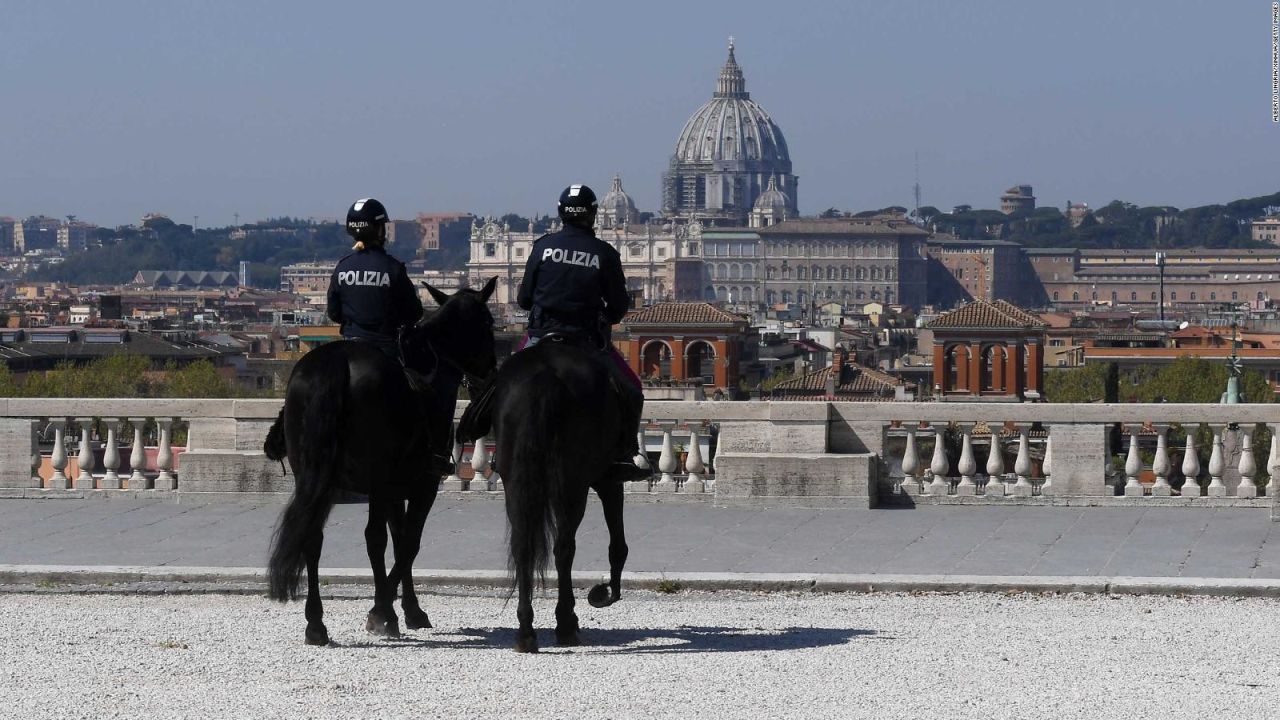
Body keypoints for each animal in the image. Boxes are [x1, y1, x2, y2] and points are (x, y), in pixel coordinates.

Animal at [264, 278, 494, 640]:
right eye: (489, 323)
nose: (491, 372)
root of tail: (336, 363)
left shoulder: (393, 489)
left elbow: (396, 540)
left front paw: (407, 610)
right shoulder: (420, 484)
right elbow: (407, 543)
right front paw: (386, 611)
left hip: (317, 478)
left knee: (313, 536)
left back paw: (316, 623)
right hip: (379, 479)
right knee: (373, 536)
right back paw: (371, 611)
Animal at [465, 335, 634, 650]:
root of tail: (543, 375)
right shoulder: (608, 481)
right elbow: (617, 542)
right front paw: (607, 593)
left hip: (515, 480)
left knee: (522, 545)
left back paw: (526, 630)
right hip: (573, 482)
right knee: (564, 547)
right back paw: (566, 624)